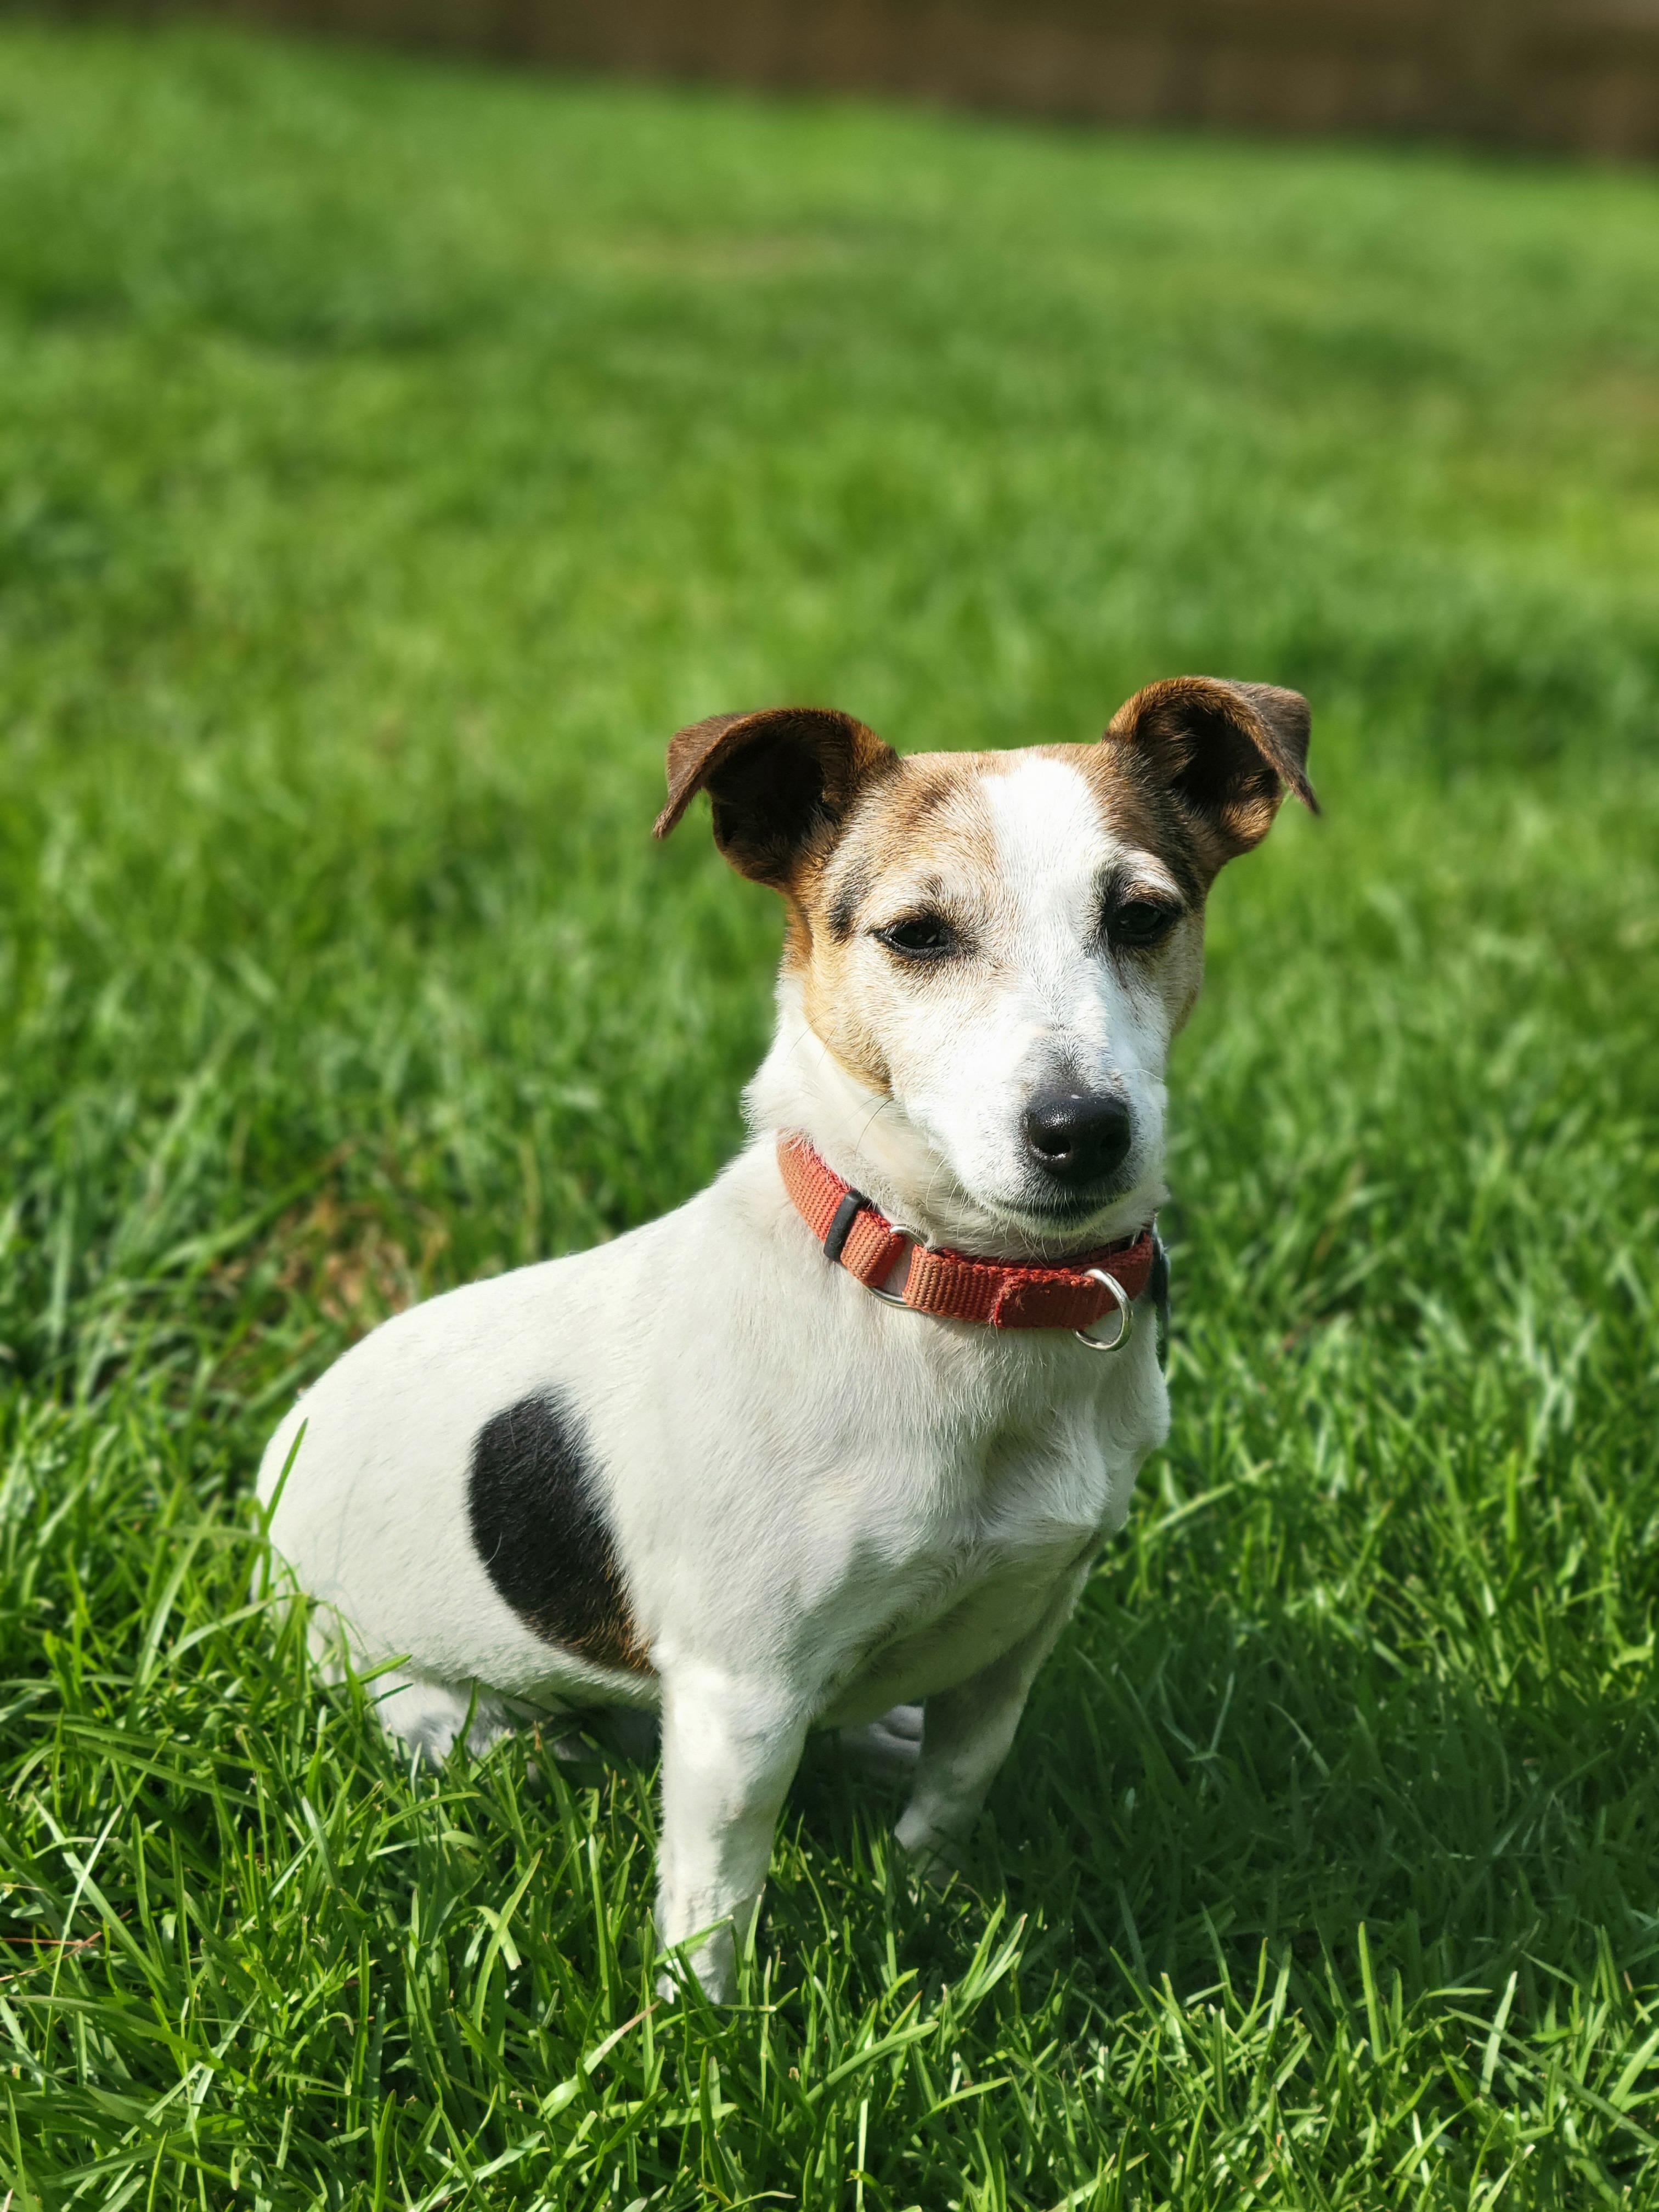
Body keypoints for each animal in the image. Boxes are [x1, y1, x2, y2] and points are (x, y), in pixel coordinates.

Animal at [259, 676, 1318, 2008]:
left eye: (1141, 916)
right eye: (916, 935)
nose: (1081, 1129)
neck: (945, 1292)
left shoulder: (1021, 1630)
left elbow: (959, 1783)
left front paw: (926, 1900)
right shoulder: (739, 1698)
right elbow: (715, 1902)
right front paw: (699, 2035)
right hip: (425, 1700)